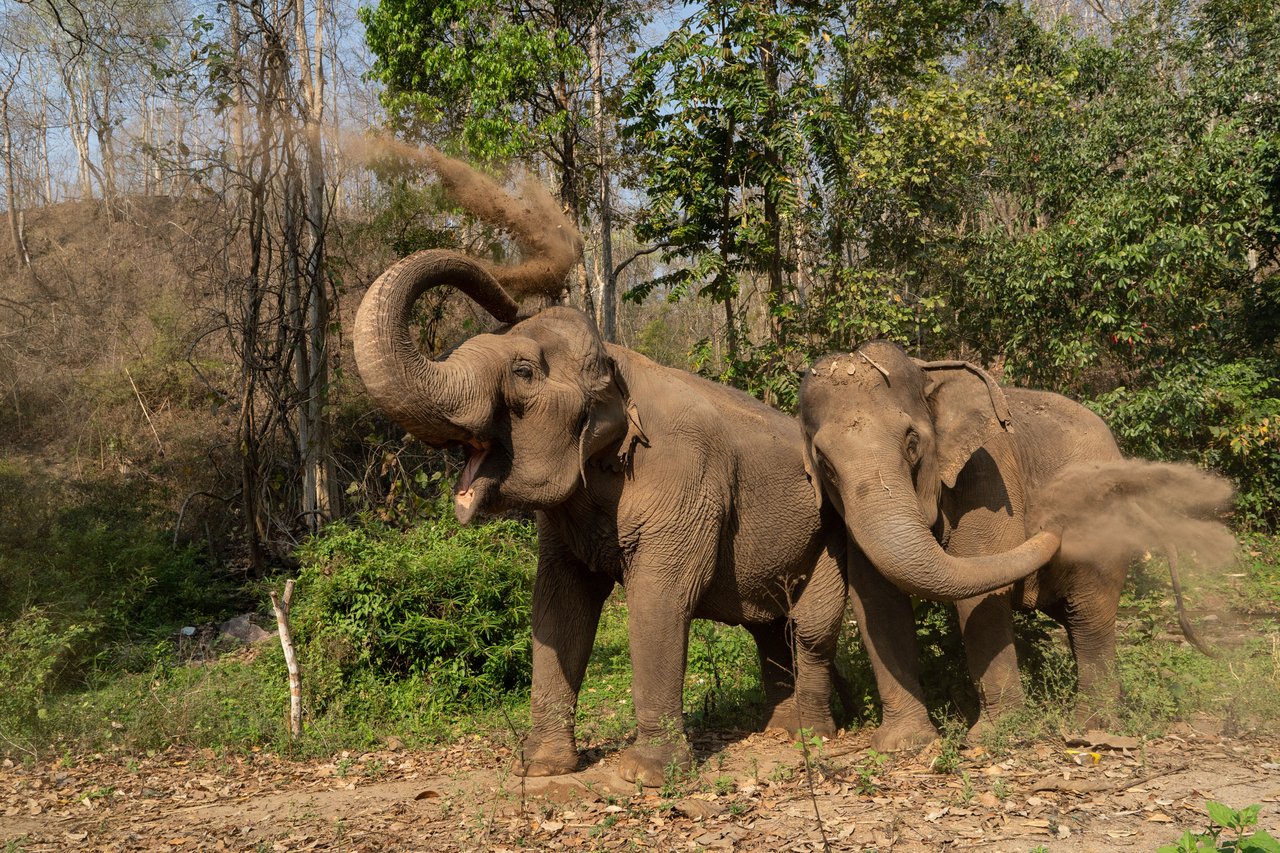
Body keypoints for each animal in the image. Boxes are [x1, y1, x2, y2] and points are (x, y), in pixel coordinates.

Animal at [798, 343, 1228, 747]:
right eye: (824, 461)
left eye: (911, 442)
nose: (1051, 514)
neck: (928, 375)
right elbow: (876, 602)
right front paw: (904, 744)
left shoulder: (989, 471)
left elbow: (980, 589)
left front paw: (994, 736)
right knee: (1075, 617)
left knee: (1090, 613)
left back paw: (1093, 725)